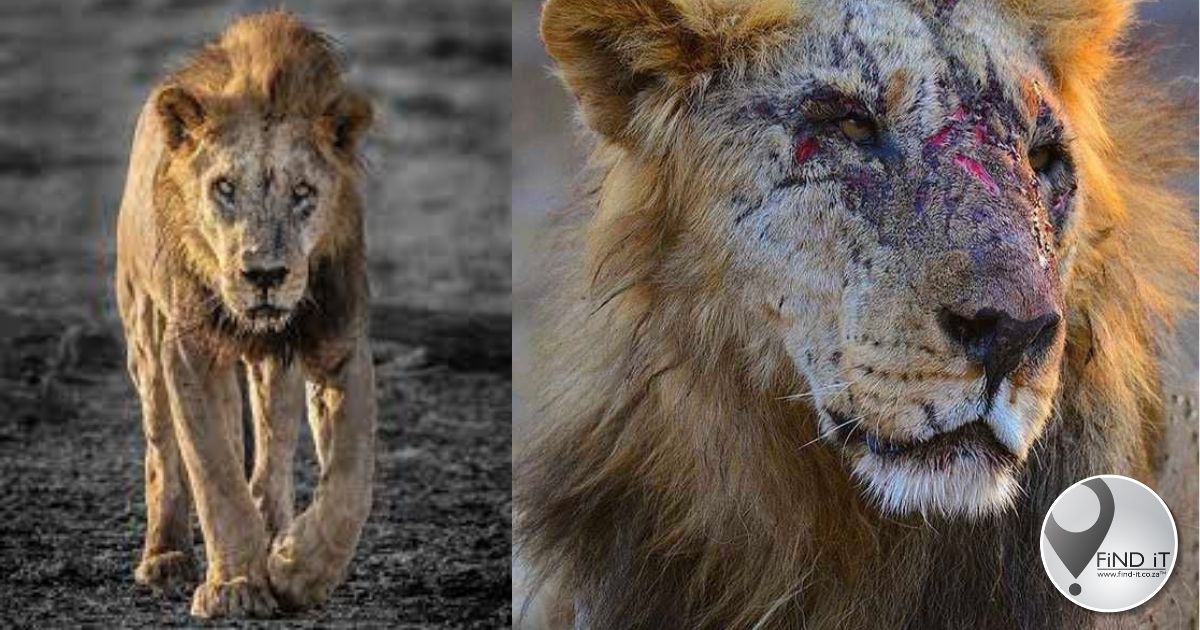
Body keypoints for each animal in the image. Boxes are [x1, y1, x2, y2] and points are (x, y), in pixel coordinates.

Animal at [114, 11, 376, 618]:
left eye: (303, 191)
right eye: (224, 188)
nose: (264, 275)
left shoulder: (339, 342)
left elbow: (351, 479)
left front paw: (298, 569)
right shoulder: (188, 349)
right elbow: (214, 472)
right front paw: (235, 586)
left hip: (272, 367)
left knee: (273, 446)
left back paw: (275, 531)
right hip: (143, 330)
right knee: (164, 449)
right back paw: (166, 557)